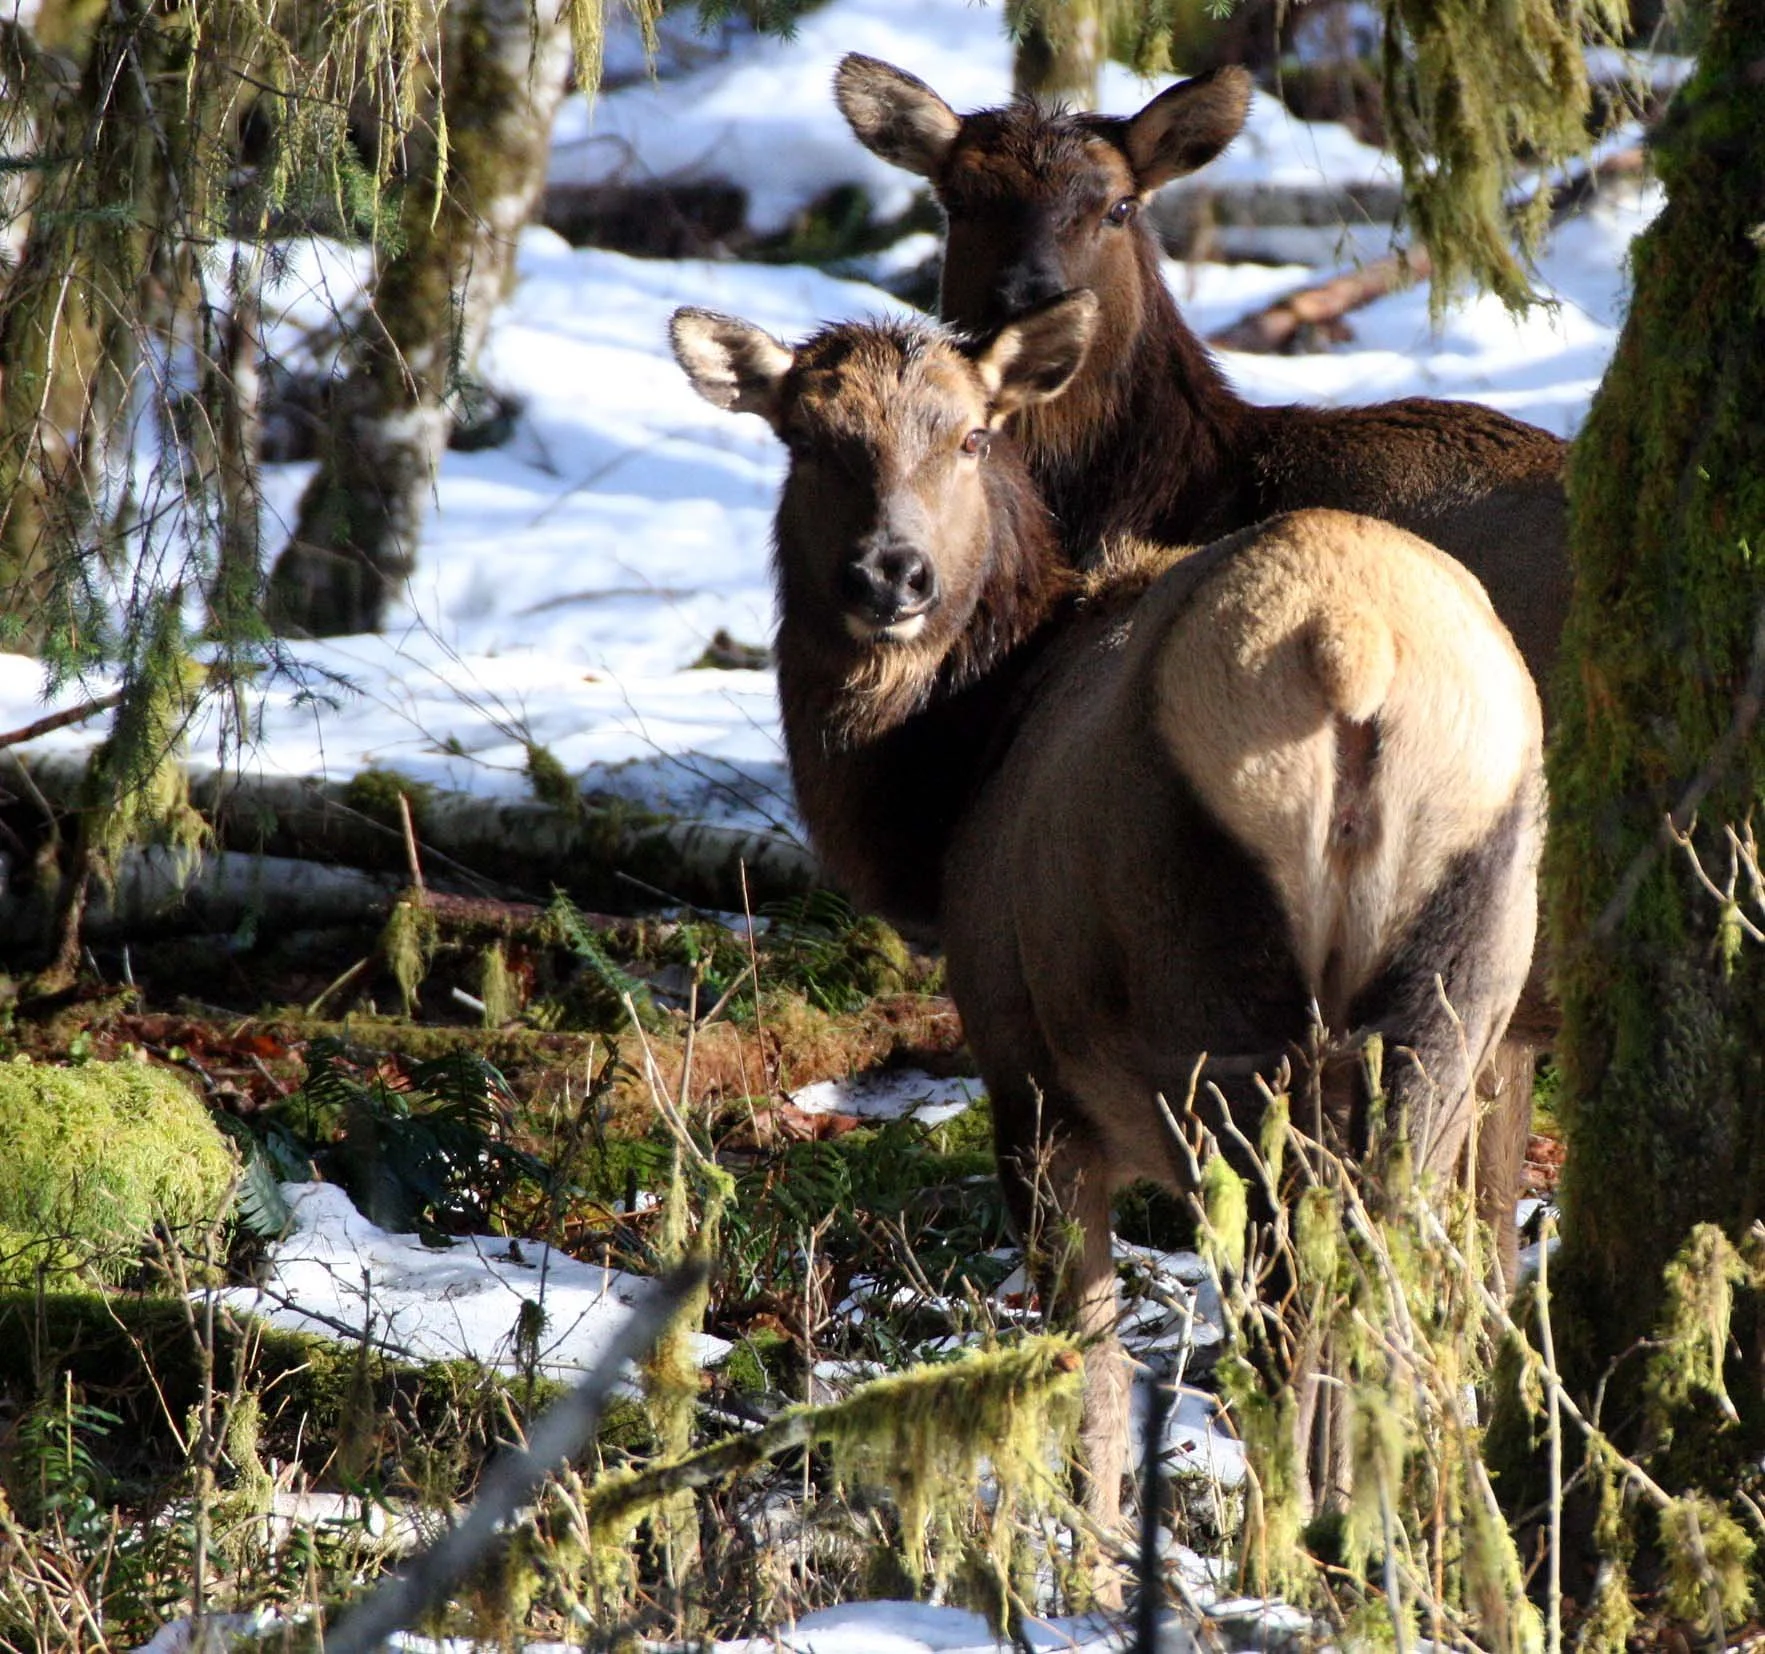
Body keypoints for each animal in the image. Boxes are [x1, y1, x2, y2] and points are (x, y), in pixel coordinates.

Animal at [670, 291, 1545, 1553]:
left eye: (972, 434)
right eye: (807, 437)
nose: (892, 573)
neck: (945, 790)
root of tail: (1353, 651)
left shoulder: (1026, 1075)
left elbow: (1082, 1361)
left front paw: (1081, 1553)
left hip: (1217, 996)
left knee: (1282, 1313)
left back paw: (1275, 1549)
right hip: (1453, 989)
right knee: (1378, 1288)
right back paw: (1363, 1542)